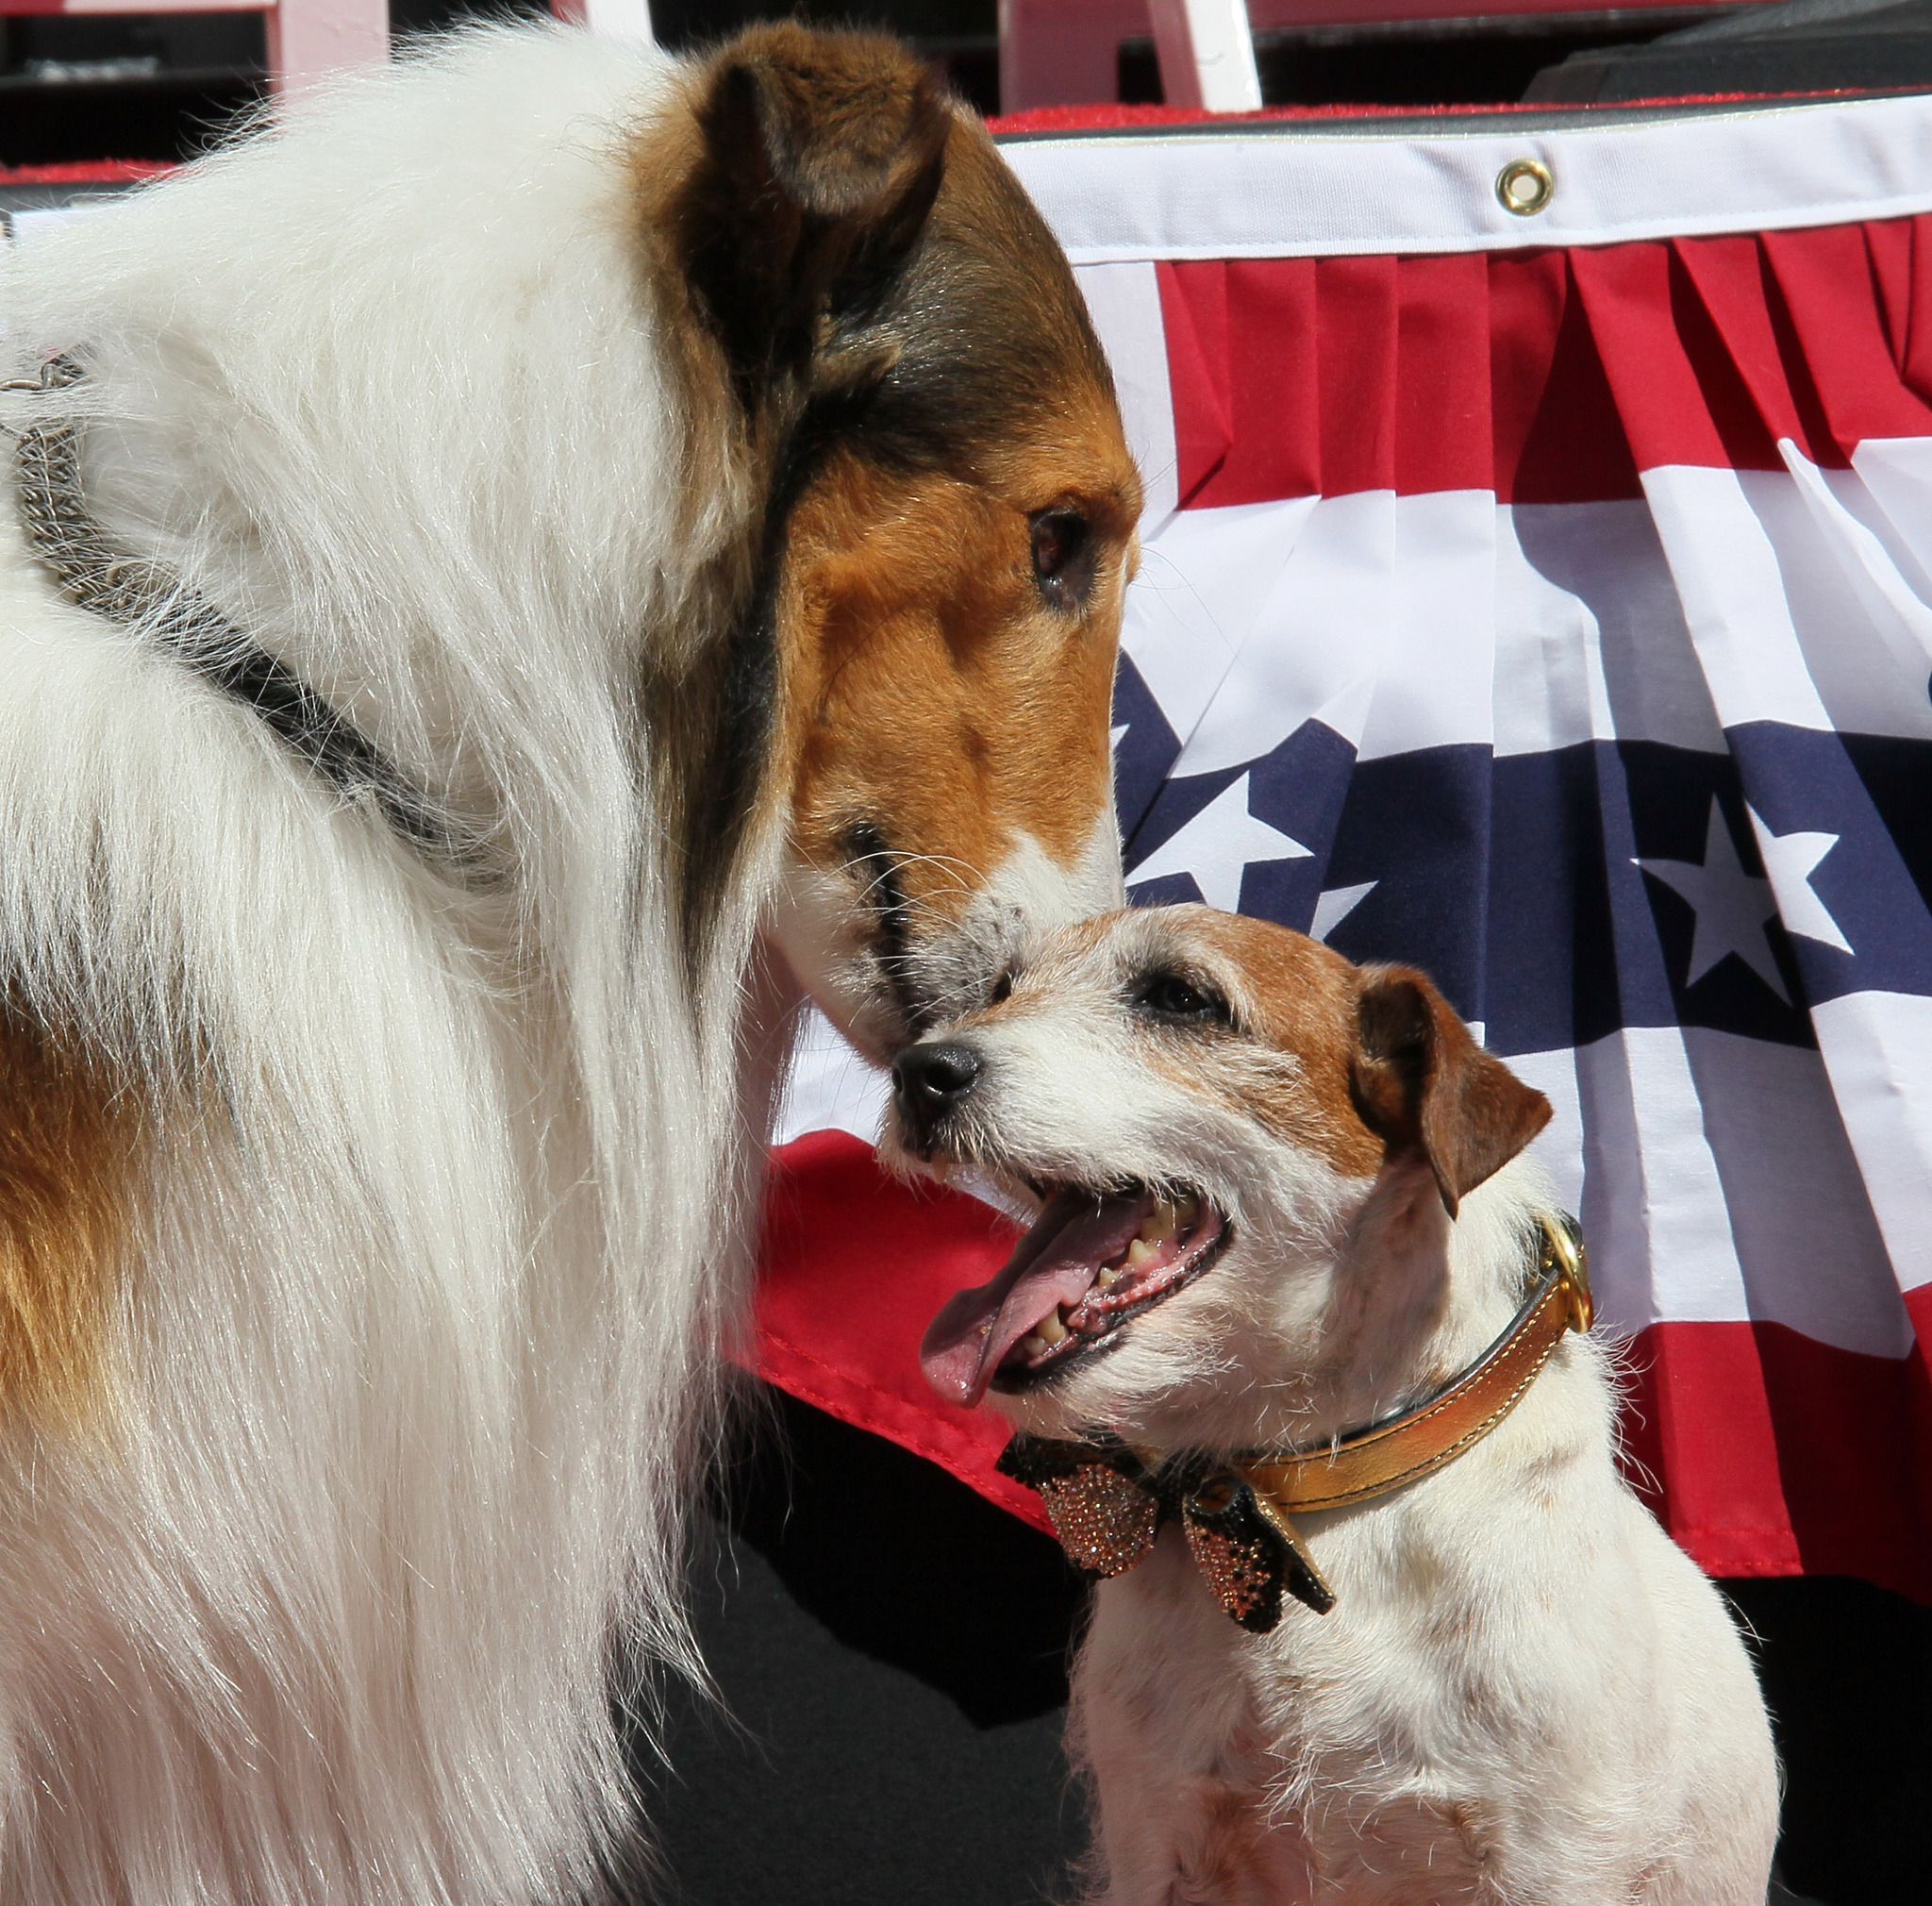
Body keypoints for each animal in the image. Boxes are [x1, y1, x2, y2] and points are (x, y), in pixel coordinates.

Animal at [884, 904, 1769, 1901]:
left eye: (1181, 998)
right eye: (1003, 989)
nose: (918, 1071)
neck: (1299, 1489)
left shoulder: (1556, 1859)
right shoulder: (1154, 1834)